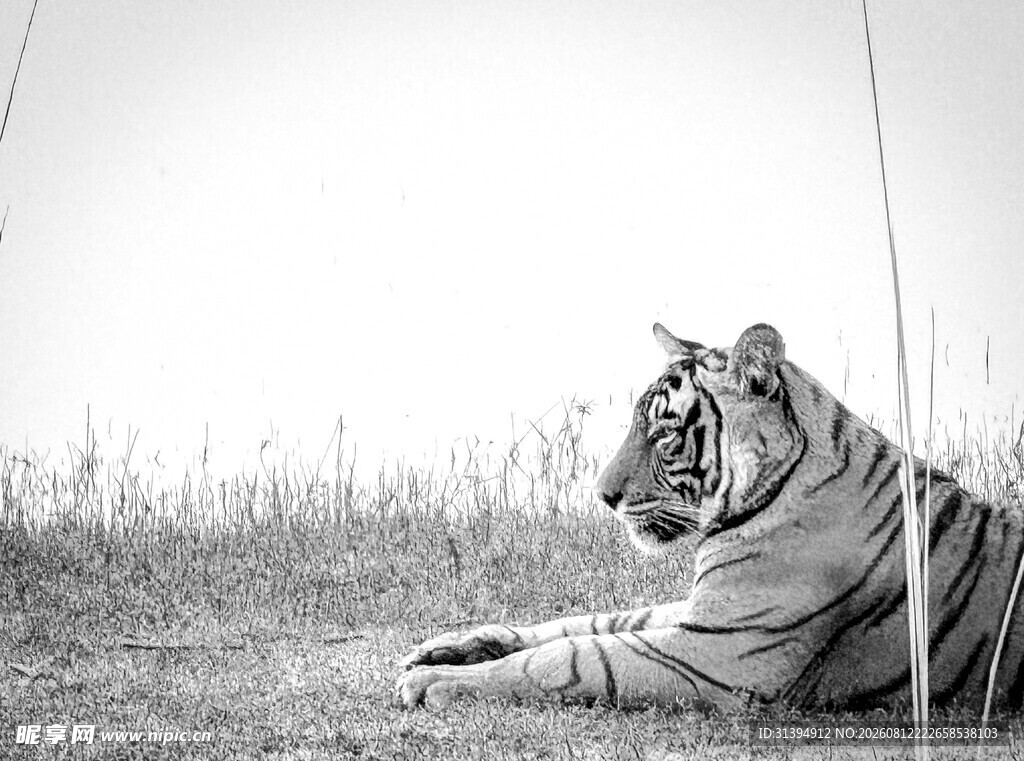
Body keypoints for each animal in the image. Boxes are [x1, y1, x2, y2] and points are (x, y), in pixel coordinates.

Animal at [398, 322, 1024, 711]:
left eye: (664, 431)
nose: (601, 495)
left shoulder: (720, 655)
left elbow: (571, 656)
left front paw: (433, 682)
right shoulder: (705, 612)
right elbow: (589, 622)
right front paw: (449, 647)